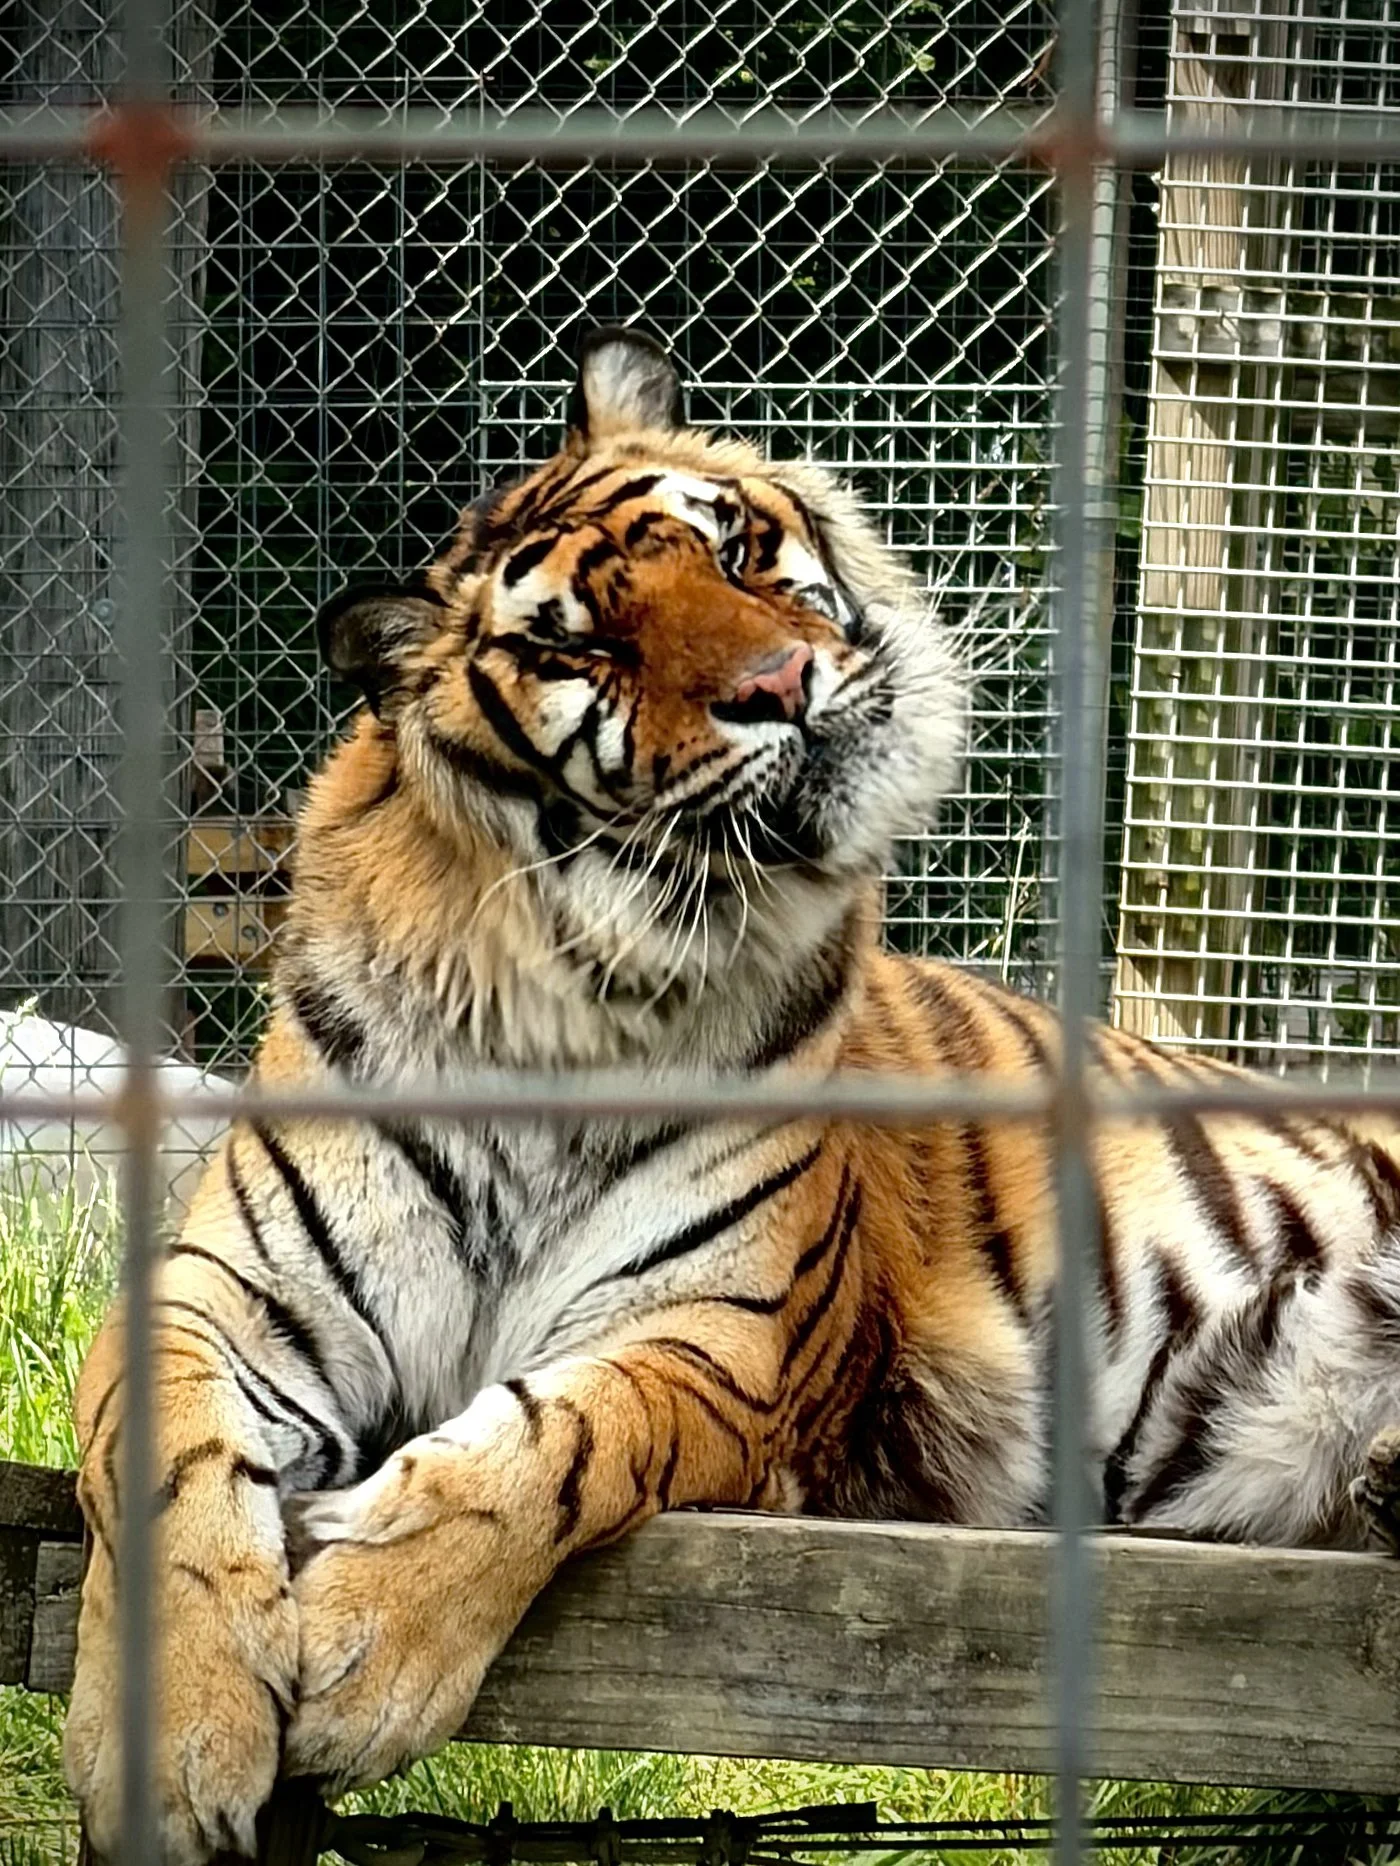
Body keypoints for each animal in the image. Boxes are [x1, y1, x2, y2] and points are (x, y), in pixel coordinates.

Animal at [65, 324, 1400, 1864]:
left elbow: (547, 1445)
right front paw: (166, 1744)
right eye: (580, 645)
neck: (553, 998)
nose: (785, 685)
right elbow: (153, 1450)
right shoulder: (226, 1294)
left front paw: (363, 1649)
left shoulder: (715, 1342)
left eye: (741, 550)